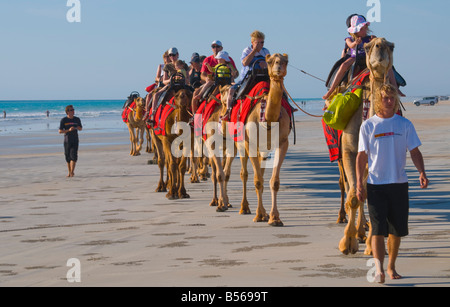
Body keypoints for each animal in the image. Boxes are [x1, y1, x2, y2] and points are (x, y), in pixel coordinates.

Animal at [334, 38, 394, 255]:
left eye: (392, 46)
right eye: (368, 47)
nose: (380, 47)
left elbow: (368, 195)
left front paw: (370, 245)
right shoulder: (349, 151)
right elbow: (354, 195)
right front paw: (346, 243)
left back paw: (362, 232)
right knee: (346, 185)